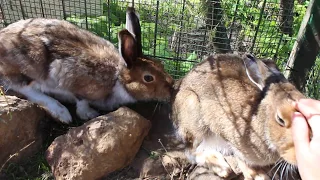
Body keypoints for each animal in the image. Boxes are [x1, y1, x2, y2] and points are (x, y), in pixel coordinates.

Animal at [0, 6, 174, 122]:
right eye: (148, 78)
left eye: (161, 64)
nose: (171, 89)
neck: (118, 77)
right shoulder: (72, 78)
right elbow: (81, 101)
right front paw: (89, 114)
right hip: (29, 68)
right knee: (23, 88)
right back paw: (61, 112)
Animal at [171, 53, 306, 179]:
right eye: (280, 119)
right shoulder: (228, 131)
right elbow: (240, 157)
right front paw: (256, 175)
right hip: (193, 114)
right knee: (191, 152)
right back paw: (220, 167)